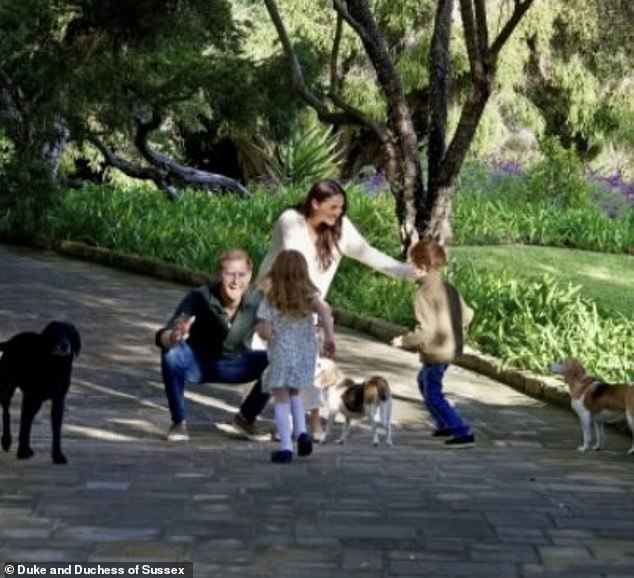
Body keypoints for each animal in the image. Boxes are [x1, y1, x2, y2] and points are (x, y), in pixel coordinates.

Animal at [0, 320, 81, 464]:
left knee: (29, 419)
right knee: (6, 412)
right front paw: (21, 452)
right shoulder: (29, 397)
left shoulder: (58, 400)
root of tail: (10, 340)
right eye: (56, 332)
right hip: (8, 387)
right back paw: (7, 441)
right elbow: (24, 425)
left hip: (36, 402)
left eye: (70, 334)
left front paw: (57, 455)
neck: (55, 365)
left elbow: (56, 429)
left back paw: (28, 448)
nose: (65, 345)